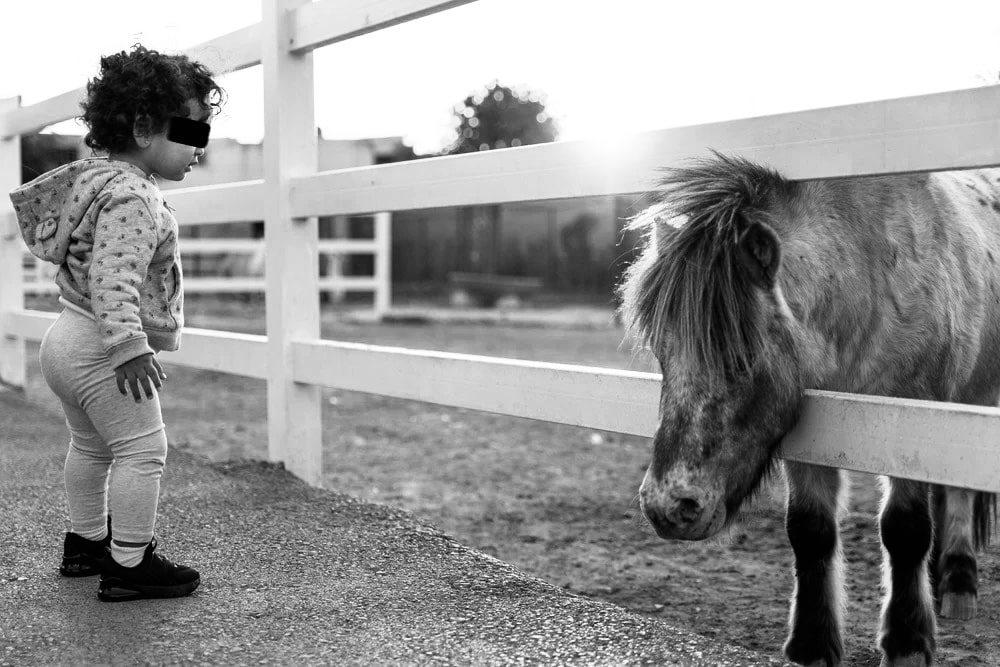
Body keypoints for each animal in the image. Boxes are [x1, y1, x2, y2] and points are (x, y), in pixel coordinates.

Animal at [616, 153, 1000, 667]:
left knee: (958, 492)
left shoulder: (911, 423)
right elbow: (809, 529)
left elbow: (904, 528)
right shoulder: (812, 432)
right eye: (662, 354)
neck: (873, 277)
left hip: (971, 401)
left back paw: (957, 580)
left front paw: (907, 642)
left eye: (743, 358)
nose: (669, 508)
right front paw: (812, 644)